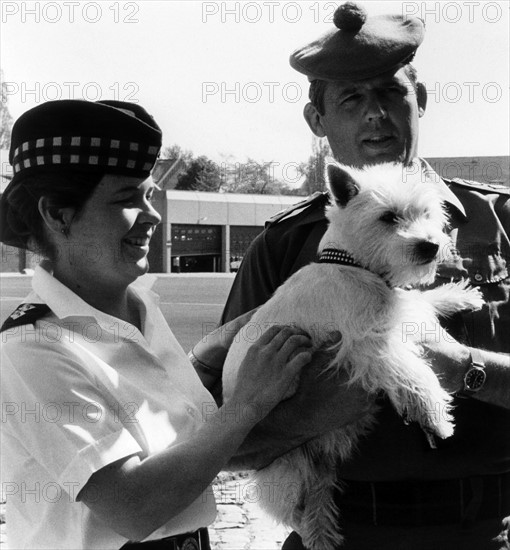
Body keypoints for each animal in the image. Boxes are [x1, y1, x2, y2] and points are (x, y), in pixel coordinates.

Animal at [221, 162, 484, 548]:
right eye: (388, 217)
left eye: (427, 213)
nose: (432, 246)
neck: (354, 265)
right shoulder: (369, 345)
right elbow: (416, 373)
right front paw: (437, 416)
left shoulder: (398, 315)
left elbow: (422, 300)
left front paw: (460, 295)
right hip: (289, 471)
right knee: (295, 513)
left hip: (318, 471)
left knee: (316, 505)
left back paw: (322, 536)